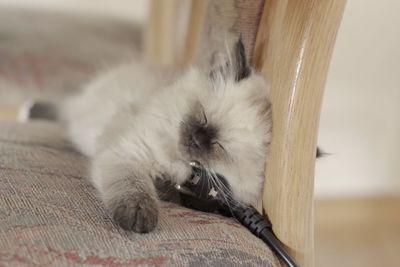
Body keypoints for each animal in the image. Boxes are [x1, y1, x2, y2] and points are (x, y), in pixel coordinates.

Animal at [59, 39, 272, 232]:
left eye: (218, 145)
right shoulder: (129, 152)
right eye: (203, 116)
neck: (176, 161)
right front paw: (138, 218)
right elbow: (135, 187)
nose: (196, 139)